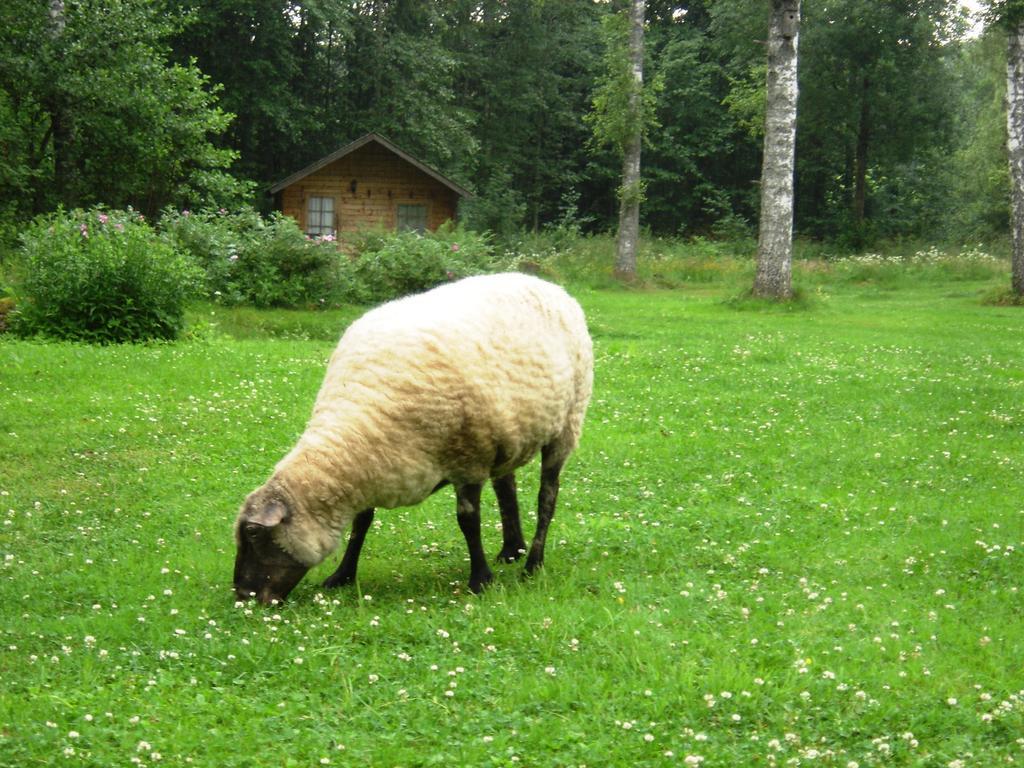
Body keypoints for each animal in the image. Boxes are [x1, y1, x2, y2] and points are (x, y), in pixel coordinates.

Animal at [232, 274, 593, 606]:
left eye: (253, 533)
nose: (243, 596)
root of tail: (547, 284)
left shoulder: (469, 459)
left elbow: (468, 521)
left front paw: (480, 580)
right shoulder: (375, 466)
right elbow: (362, 522)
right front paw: (342, 575)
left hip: (566, 424)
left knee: (547, 496)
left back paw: (532, 563)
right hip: (508, 437)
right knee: (507, 487)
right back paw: (511, 550)